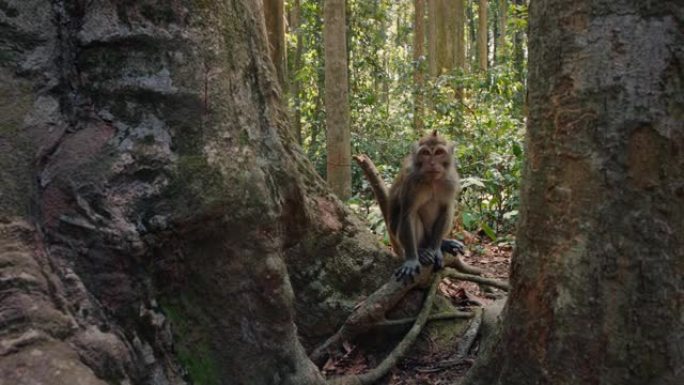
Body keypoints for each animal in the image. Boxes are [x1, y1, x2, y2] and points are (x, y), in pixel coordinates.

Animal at [388, 130, 462, 280]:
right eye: (426, 153)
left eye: (439, 152)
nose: (432, 163)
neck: (432, 180)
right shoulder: (410, 181)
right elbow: (408, 214)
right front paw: (412, 260)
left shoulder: (451, 181)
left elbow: (446, 209)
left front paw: (436, 249)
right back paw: (421, 251)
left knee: (449, 210)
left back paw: (442, 244)